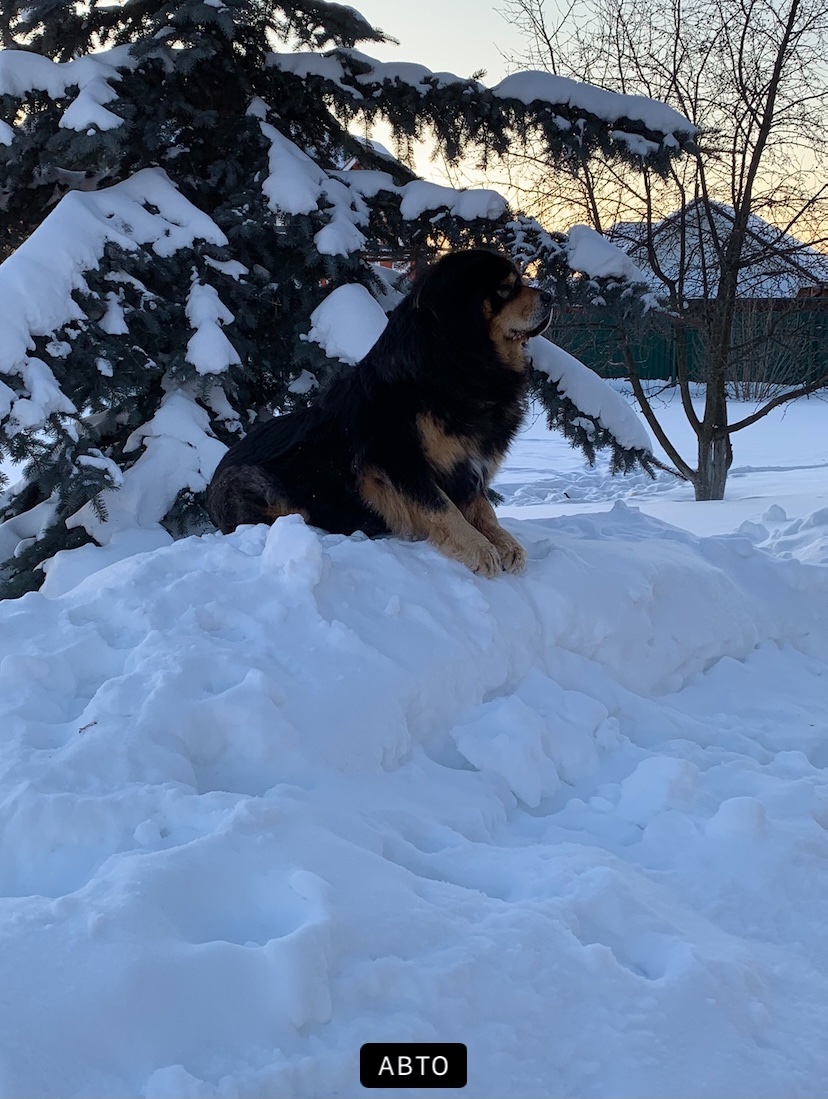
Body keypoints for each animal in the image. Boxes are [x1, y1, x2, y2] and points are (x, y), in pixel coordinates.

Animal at [207, 249, 553, 577]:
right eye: (505, 289)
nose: (549, 297)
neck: (452, 366)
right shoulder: (397, 459)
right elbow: (441, 507)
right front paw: (479, 549)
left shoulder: (468, 467)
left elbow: (484, 510)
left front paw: (506, 543)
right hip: (256, 485)